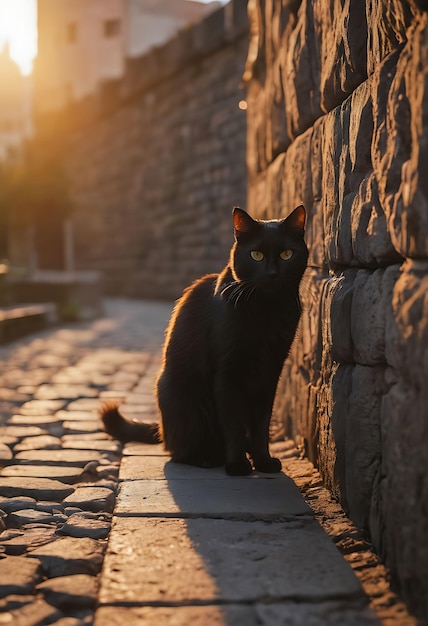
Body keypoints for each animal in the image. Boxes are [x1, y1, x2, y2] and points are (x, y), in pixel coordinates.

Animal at [102, 205, 310, 472]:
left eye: (286, 254)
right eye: (256, 255)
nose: (272, 273)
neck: (267, 310)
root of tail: (162, 430)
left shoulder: (271, 370)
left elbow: (261, 424)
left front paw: (263, 461)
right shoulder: (227, 372)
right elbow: (232, 423)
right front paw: (237, 466)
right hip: (184, 398)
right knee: (178, 452)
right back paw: (208, 459)